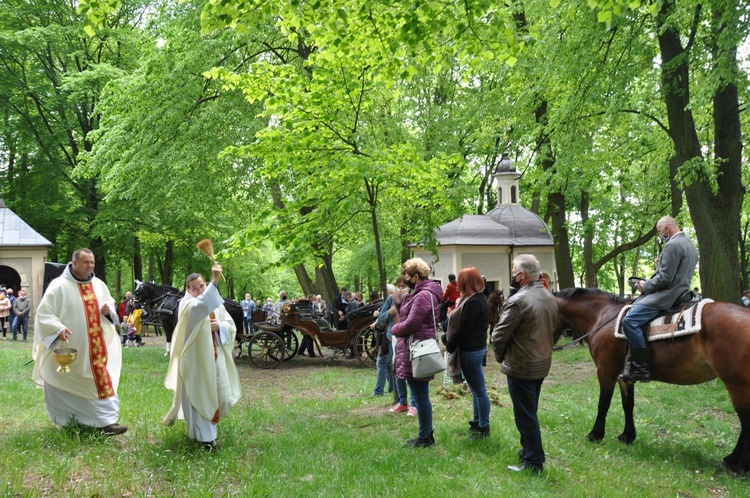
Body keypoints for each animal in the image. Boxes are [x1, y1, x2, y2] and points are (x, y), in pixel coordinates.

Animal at [556, 286, 750, 472]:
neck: (603, 317)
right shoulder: (624, 376)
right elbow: (628, 404)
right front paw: (627, 436)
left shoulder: (606, 370)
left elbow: (603, 403)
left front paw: (595, 435)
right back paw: (733, 460)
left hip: (737, 384)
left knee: (746, 419)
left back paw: (739, 465)